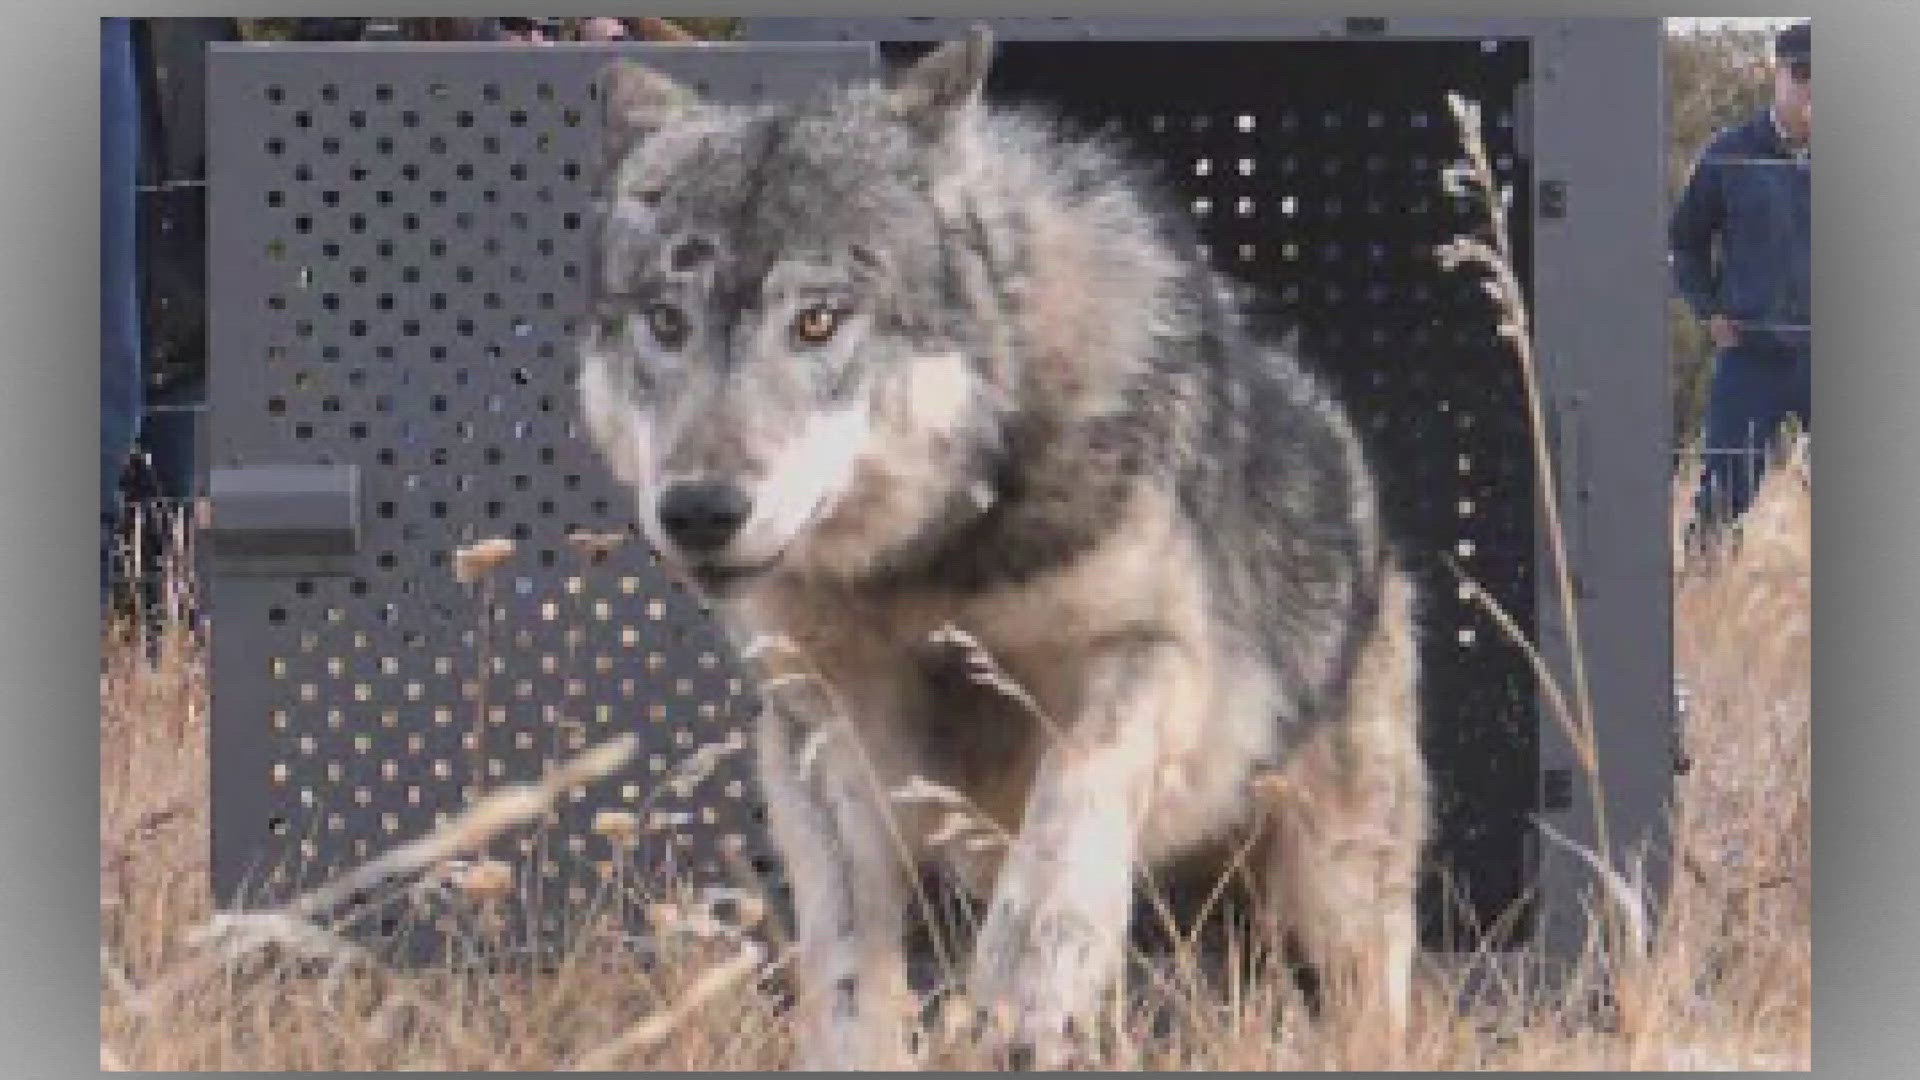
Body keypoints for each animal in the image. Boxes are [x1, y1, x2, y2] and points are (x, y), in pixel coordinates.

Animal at [576, 28, 1429, 1069]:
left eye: (818, 319)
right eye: (666, 322)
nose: (699, 509)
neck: (938, 564)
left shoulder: (1148, 657)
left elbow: (1068, 811)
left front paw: (1029, 991)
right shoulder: (822, 727)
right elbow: (849, 956)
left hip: (1332, 901)